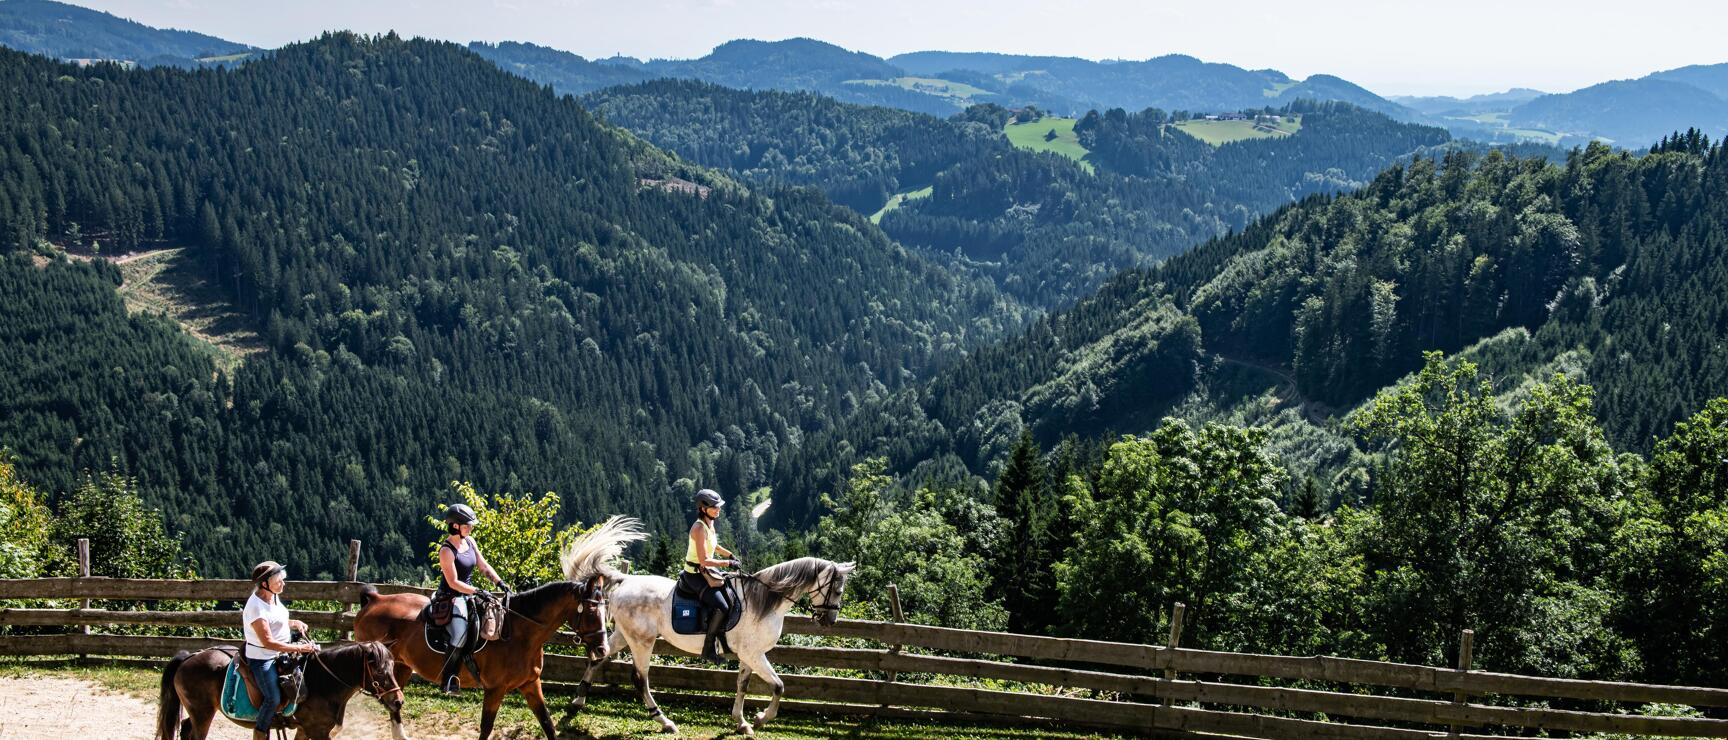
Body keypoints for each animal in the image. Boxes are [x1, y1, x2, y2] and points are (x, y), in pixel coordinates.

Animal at [155, 640, 406, 740]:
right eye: (379, 671)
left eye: (393, 667)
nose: (398, 701)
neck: (323, 683)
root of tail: (189, 657)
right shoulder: (318, 732)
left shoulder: (304, 730)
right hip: (202, 713)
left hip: (198, 712)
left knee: (185, 727)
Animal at [352, 515, 645, 739]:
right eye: (593, 611)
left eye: (607, 610)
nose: (602, 649)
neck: (521, 634)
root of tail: (374, 600)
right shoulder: (495, 689)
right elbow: (486, 728)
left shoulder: (530, 684)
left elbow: (548, 724)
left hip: (400, 667)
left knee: (394, 704)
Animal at [574, 555, 855, 736]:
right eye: (838, 591)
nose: (830, 621)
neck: (763, 603)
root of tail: (626, 581)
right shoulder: (754, 654)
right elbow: (778, 686)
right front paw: (761, 719)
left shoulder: (748, 655)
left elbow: (742, 685)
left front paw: (741, 722)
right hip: (642, 641)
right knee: (640, 679)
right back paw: (665, 722)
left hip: (624, 634)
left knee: (597, 658)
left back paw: (578, 701)